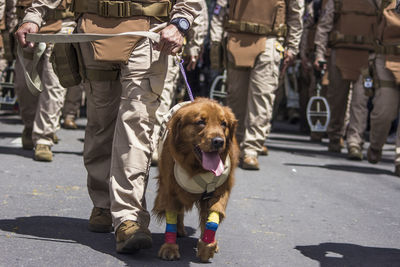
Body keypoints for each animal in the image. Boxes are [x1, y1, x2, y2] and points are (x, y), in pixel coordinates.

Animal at [153, 97, 238, 262]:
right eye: (200, 122)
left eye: (223, 123)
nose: (219, 141)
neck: (198, 169)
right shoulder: (170, 190)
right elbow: (172, 215)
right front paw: (170, 247)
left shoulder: (219, 191)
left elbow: (212, 218)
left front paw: (207, 245)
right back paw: (179, 230)